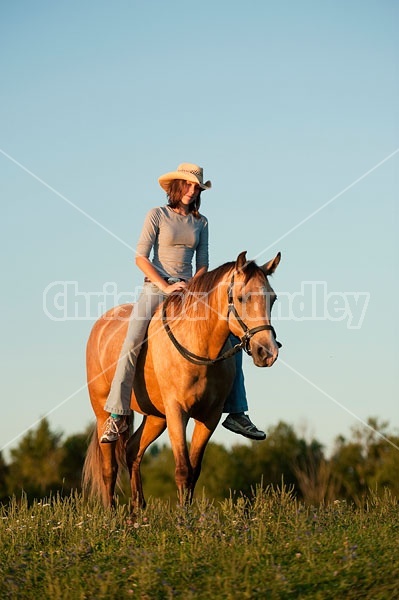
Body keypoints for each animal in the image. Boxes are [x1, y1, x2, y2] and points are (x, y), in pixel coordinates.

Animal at [82, 251, 282, 508]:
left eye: (273, 299)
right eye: (241, 298)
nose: (267, 352)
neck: (198, 344)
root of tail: (101, 324)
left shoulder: (209, 416)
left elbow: (194, 471)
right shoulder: (177, 412)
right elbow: (183, 470)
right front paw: (183, 516)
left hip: (156, 417)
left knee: (132, 451)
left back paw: (138, 511)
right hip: (102, 412)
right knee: (110, 468)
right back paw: (112, 514)